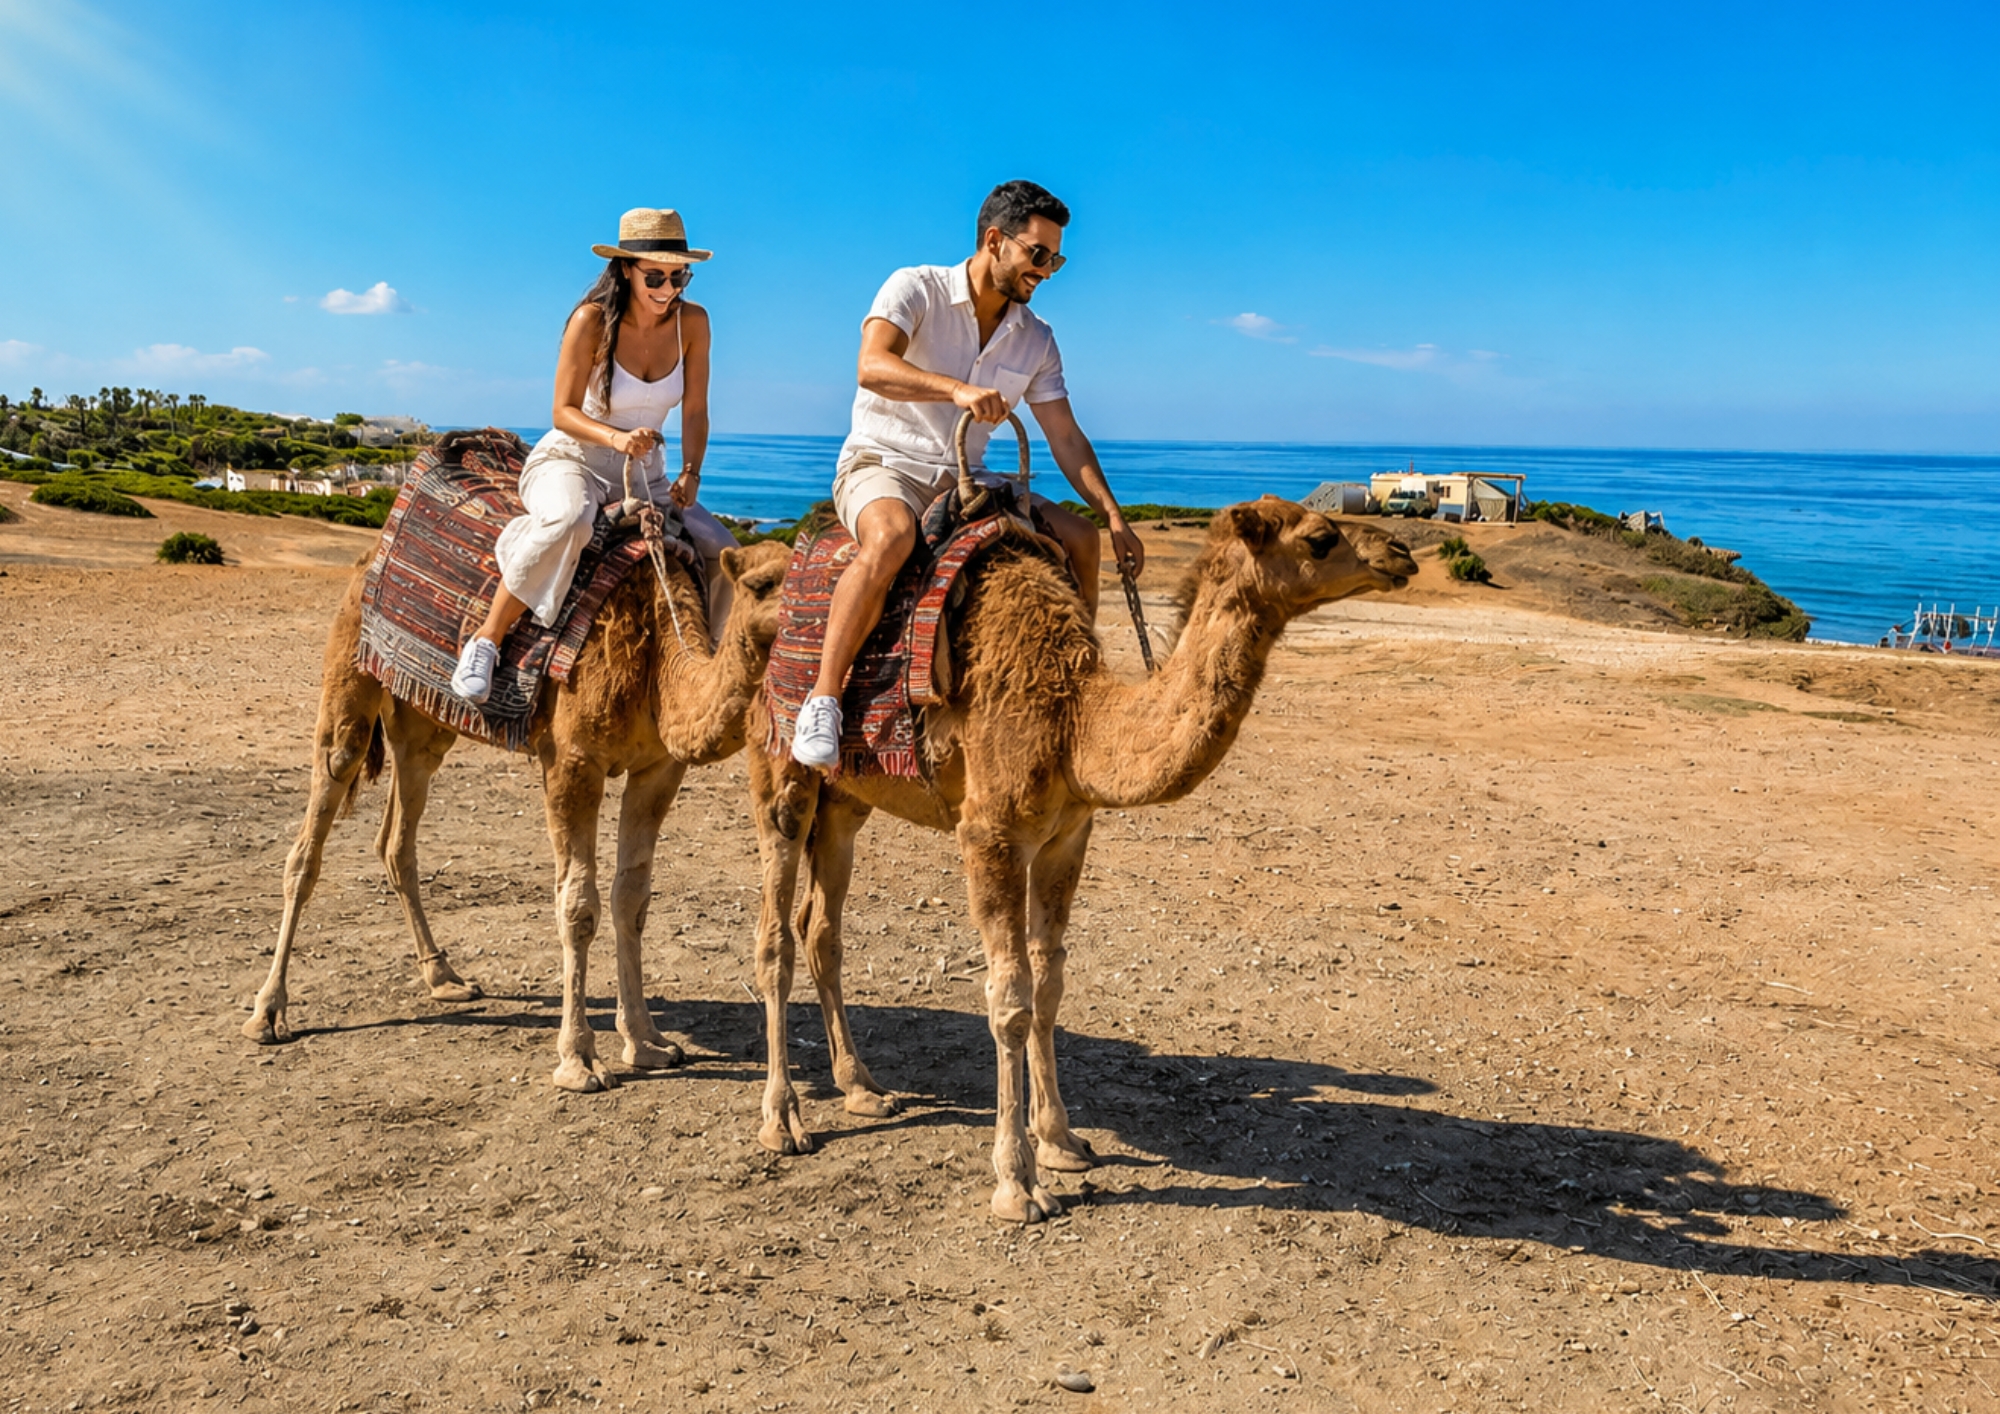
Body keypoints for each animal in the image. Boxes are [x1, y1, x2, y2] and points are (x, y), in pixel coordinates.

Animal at [244, 534, 792, 1094]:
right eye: (762, 584)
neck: (658, 661)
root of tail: (366, 560)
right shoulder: (572, 760)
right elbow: (578, 905)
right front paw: (580, 1061)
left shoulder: (658, 768)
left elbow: (632, 901)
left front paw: (647, 1043)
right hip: (351, 674)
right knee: (315, 827)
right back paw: (268, 1013)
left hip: (420, 723)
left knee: (397, 839)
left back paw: (445, 979)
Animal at [746, 495, 1417, 1221]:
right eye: (1320, 538)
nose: (1402, 553)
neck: (1074, 722)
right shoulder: (990, 834)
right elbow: (1009, 1000)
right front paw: (1017, 1184)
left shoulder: (1067, 836)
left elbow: (1049, 986)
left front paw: (1062, 1142)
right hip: (782, 774)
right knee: (776, 938)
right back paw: (783, 1122)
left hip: (847, 800)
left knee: (821, 929)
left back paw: (863, 1088)